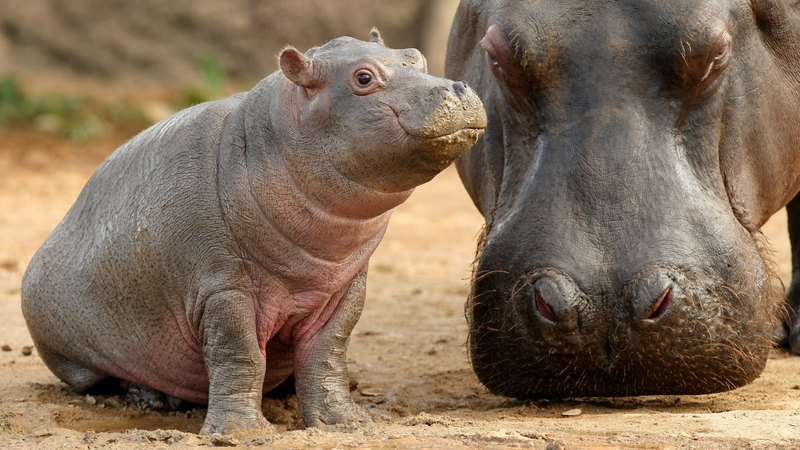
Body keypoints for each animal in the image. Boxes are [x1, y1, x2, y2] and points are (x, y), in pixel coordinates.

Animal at [21, 30, 486, 435]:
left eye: (417, 57)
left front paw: (346, 421)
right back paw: (152, 399)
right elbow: (239, 354)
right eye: (363, 78)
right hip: (74, 352)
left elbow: (328, 352)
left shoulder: (344, 287)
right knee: (106, 378)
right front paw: (240, 431)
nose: (457, 88)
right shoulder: (222, 288)